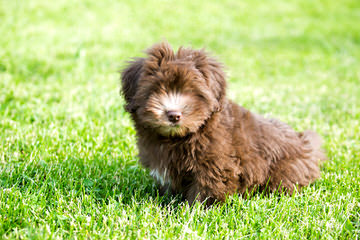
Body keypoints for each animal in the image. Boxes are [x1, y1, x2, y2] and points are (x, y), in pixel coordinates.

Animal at [121, 41, 326, 204]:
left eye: (193, 92)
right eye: (156, 89)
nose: (174, 114)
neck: (177, 138)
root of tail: (306, 144)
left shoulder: (215, 164)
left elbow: (205, 189)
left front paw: (192, 211)